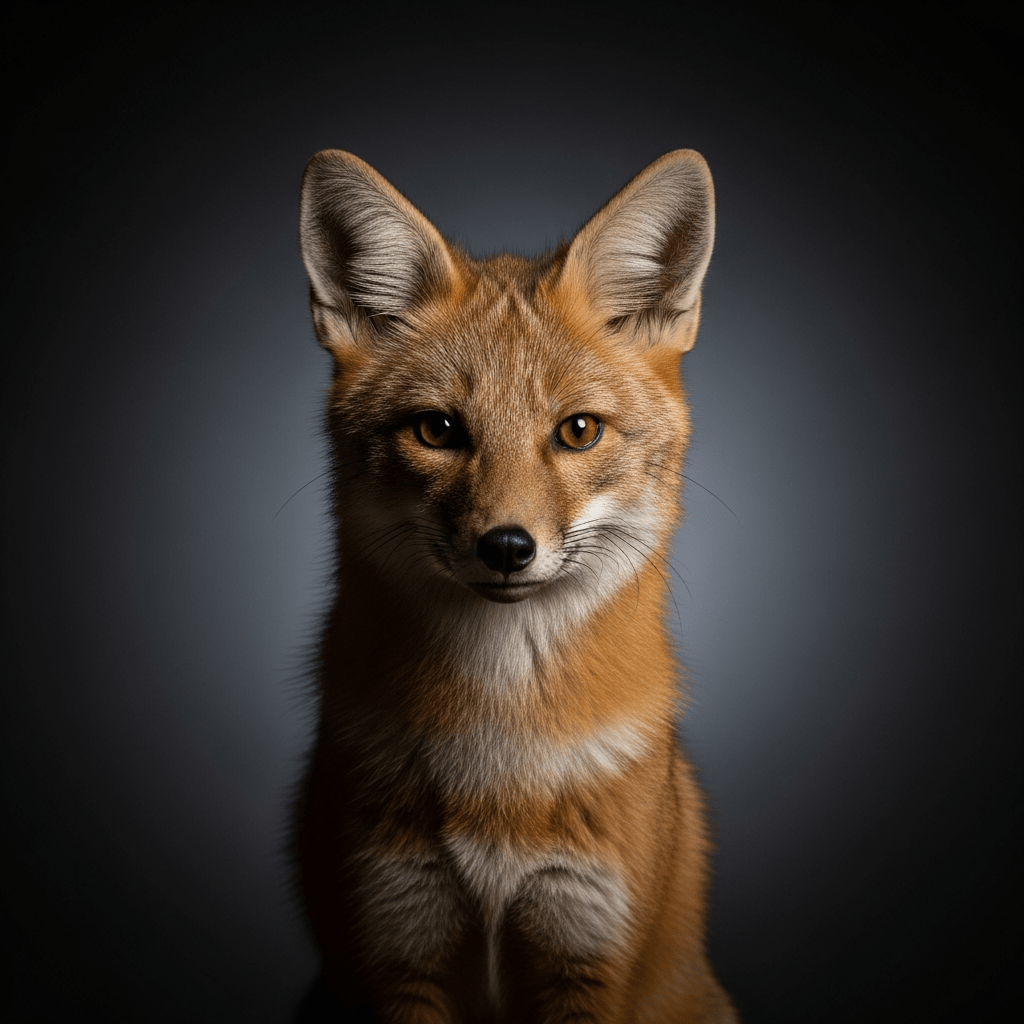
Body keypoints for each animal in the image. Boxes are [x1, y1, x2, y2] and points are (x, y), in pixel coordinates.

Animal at [293, 148, 738, 1024]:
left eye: (578, 431)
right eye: (438, 430)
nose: (505, 547)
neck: (501, 764)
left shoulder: (588, 951)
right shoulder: (398, 944)